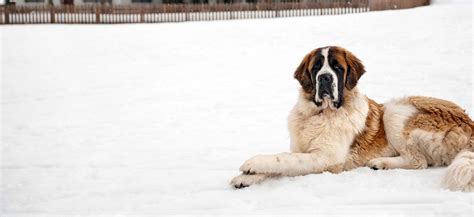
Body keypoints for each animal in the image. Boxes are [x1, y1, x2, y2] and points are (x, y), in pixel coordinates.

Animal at [231, 45, 474, 192]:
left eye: (337, 68)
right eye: (316, 67)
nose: (325, 78)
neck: (321, 113)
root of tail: (468, 122)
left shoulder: (326, 157)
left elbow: (283, 159)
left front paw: (252, 163)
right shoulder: (302, 150)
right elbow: (284, 163)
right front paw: (246, 177)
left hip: (396, 111)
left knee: (419, 161)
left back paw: (380, 163)